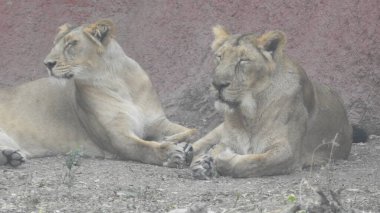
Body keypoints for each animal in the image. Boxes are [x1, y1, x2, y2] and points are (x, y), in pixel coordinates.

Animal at [0, 18, 194, 168]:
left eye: (71, 44)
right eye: (54, 45)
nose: (47, 63)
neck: (116, 80)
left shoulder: (157, 121)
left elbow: (192, 130)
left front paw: (182, 144)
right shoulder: (116, 136)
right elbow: (144, 148)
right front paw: (170, 153)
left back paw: (11, 157)